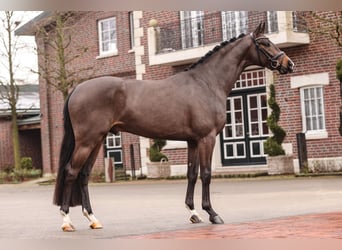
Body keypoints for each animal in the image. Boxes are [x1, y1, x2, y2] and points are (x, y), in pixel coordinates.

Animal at [52, 22, 294, 231]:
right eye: (265, 43)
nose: (288, 64)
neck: (206, 83)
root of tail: (77, 89)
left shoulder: (193, 141)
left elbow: (192, 174)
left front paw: (193, 213)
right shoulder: (207, 138)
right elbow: (206, 174)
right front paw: (212, 213)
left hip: (98, 140)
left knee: (84, 175)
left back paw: (93, 219)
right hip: (87, 141)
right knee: (71, 171)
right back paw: (66, 221)